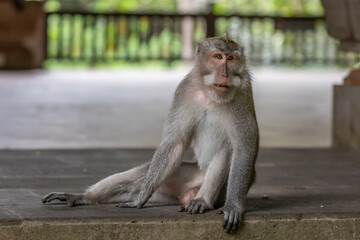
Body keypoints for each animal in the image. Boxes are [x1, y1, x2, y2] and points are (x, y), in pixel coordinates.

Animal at [42, 34, 258, 233]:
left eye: (231, 58)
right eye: (218, 56)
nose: (226, 73)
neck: (211, 94)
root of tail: (192, 189)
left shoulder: (242, 93)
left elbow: (244, 147)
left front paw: (233, 206)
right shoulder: (185, 89)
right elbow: (174, 143)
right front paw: (140, 198)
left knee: (228, 149)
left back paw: (201, 201)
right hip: (182, 178)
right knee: (146, 170)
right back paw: (85, 197)